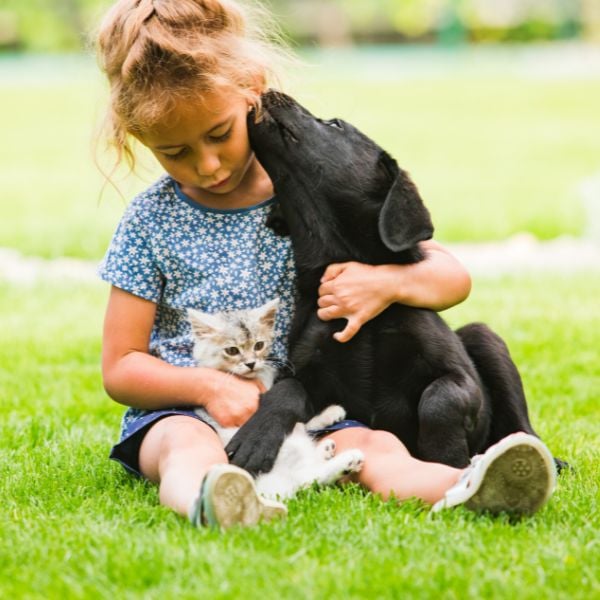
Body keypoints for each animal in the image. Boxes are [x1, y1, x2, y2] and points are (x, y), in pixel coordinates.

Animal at [188, 300, 366, 502]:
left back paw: (325, 446)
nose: (251, 363)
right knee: (307, 478)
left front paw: (329, 414)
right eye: (232, 350)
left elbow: (300, 418)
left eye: (258, 345)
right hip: (286, 451)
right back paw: (347, 460)